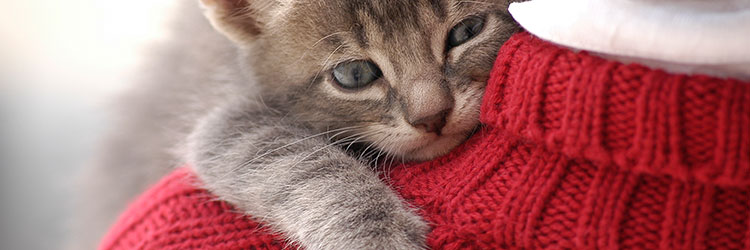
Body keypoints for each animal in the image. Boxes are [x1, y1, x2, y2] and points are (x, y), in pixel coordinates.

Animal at [73, 0, 520, 249]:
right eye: (354, 74)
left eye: (467, 31)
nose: (432, 115)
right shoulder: (226, 116)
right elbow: (302, 165)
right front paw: (377, 236)